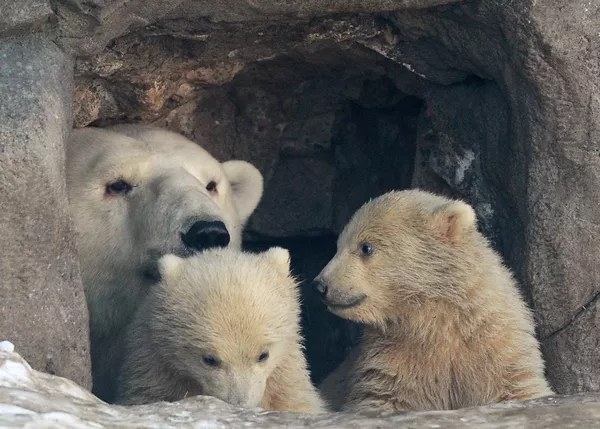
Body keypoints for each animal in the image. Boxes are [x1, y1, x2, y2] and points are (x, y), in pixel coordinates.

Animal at [312, 189, 554, 412]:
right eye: (338, 245)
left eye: (366, 247)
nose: (321, 285)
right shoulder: (391, 360)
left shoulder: (498, 348)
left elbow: (518, 388)